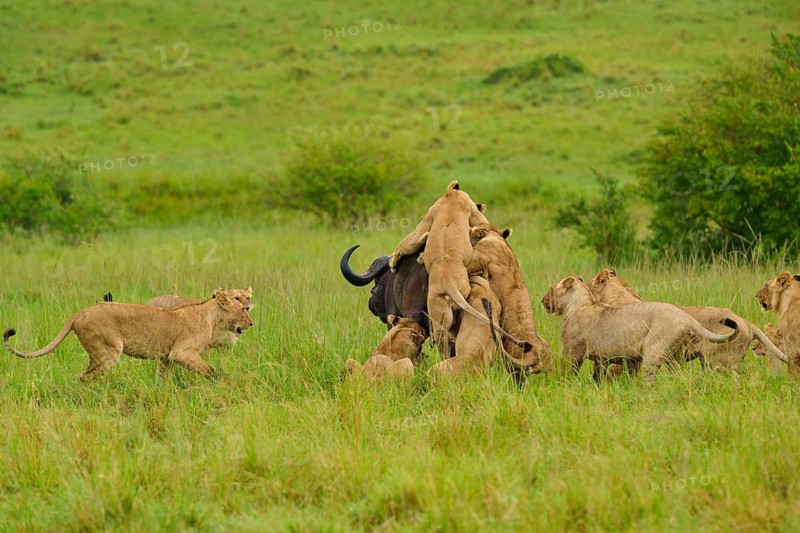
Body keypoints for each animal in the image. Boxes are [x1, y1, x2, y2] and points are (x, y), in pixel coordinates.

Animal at [542, 276, 739, 384]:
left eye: (550, 289)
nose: (542, 300)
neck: (578, 303)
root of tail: (687, 318)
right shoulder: (601, 358)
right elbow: (597, 376)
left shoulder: (573, 352)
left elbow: (568, 373)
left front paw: (563, 385)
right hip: (675, 357)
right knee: (679, 375)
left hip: (654, 350)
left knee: (649, 378)